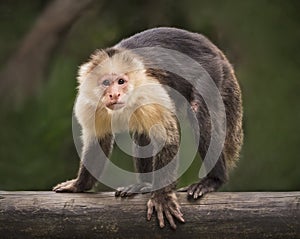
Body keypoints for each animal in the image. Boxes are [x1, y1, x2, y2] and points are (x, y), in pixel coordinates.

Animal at [52, 27, 243, 230]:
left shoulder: (148, 90)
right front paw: (80, 185)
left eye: (121, 82)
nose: (114, 94)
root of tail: (215, 50)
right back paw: (144, 184)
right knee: (142, 133)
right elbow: (99, 141)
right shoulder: (89, 103)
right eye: (106, 83)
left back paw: (213, 180)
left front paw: (162, 197)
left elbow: (167, 137)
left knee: (199, 111)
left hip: (213, 72)